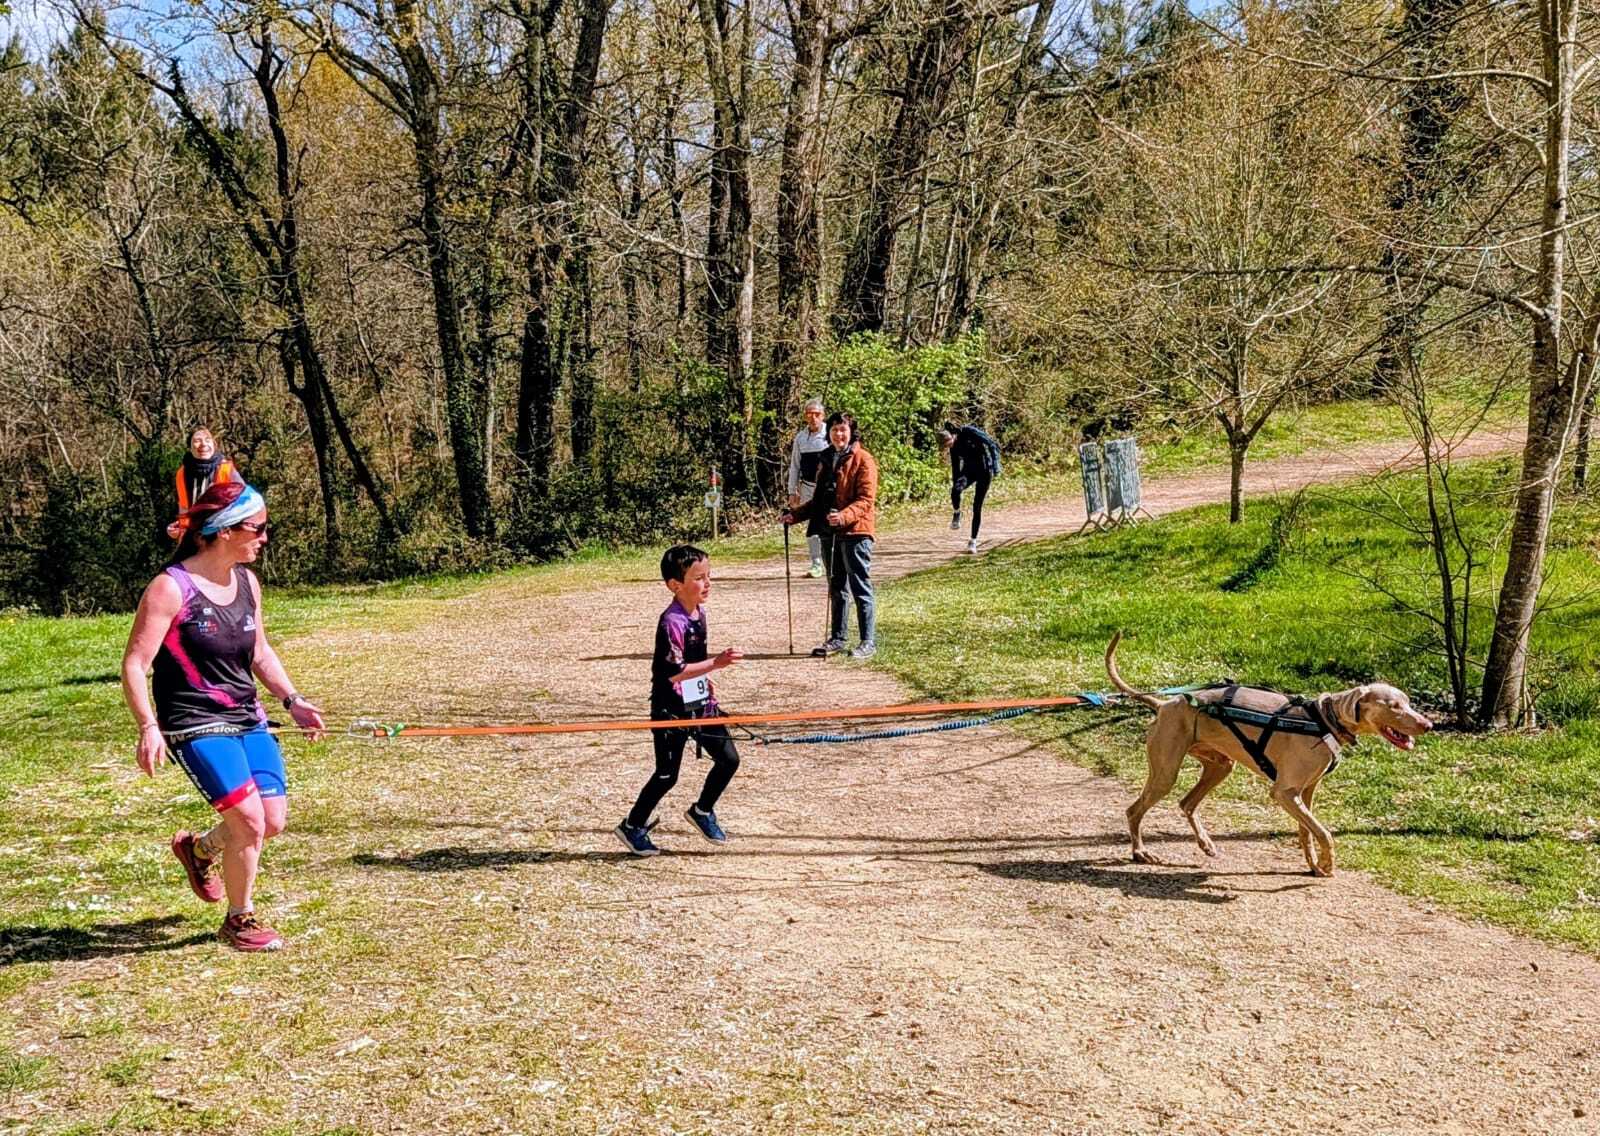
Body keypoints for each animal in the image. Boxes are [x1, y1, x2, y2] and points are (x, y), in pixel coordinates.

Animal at [1104, 632, 1432, 877]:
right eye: (1393, 706)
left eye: (1408, 702)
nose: (1428, 724)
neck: (1323, 720)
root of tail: (1164, 704)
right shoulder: (1285, 792)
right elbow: (1323, 832)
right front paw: (1327, 863)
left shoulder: (1306, 792)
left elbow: (1308, 831)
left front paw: (1314, 865)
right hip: (1166, 771)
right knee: (1135, 810)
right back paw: (1140, 852)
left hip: (1220, 765)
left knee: (1186, 803)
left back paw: (1206, 844)